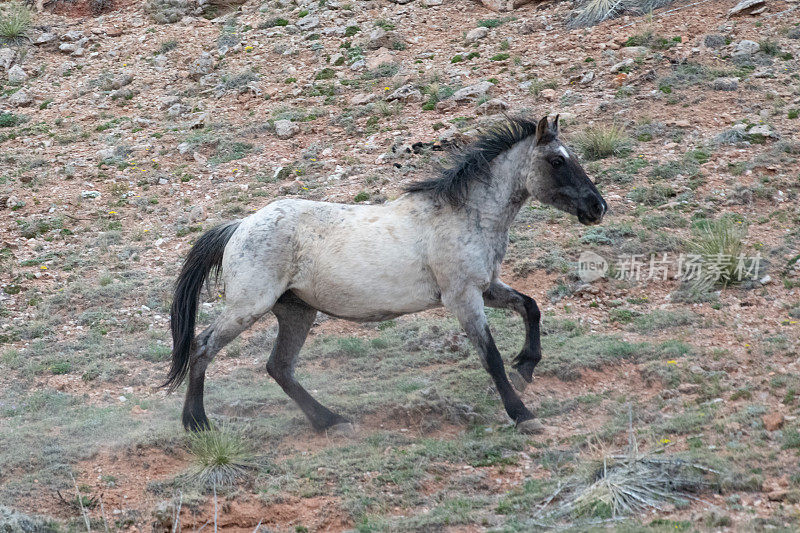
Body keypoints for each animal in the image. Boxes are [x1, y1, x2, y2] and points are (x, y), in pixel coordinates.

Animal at [164, 115, 608, 432]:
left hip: (296, 311)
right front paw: (521, 413)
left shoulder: (486, 288)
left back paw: (331, 421)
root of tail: (240, 225)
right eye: (556, 160)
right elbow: (492, 358)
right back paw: (196, 423)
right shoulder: (463, 298)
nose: (597, 206)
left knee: (279, 367)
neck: (465, 215)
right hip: (249, 306)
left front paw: (527, 365)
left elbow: (531, 307)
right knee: (203, 347)